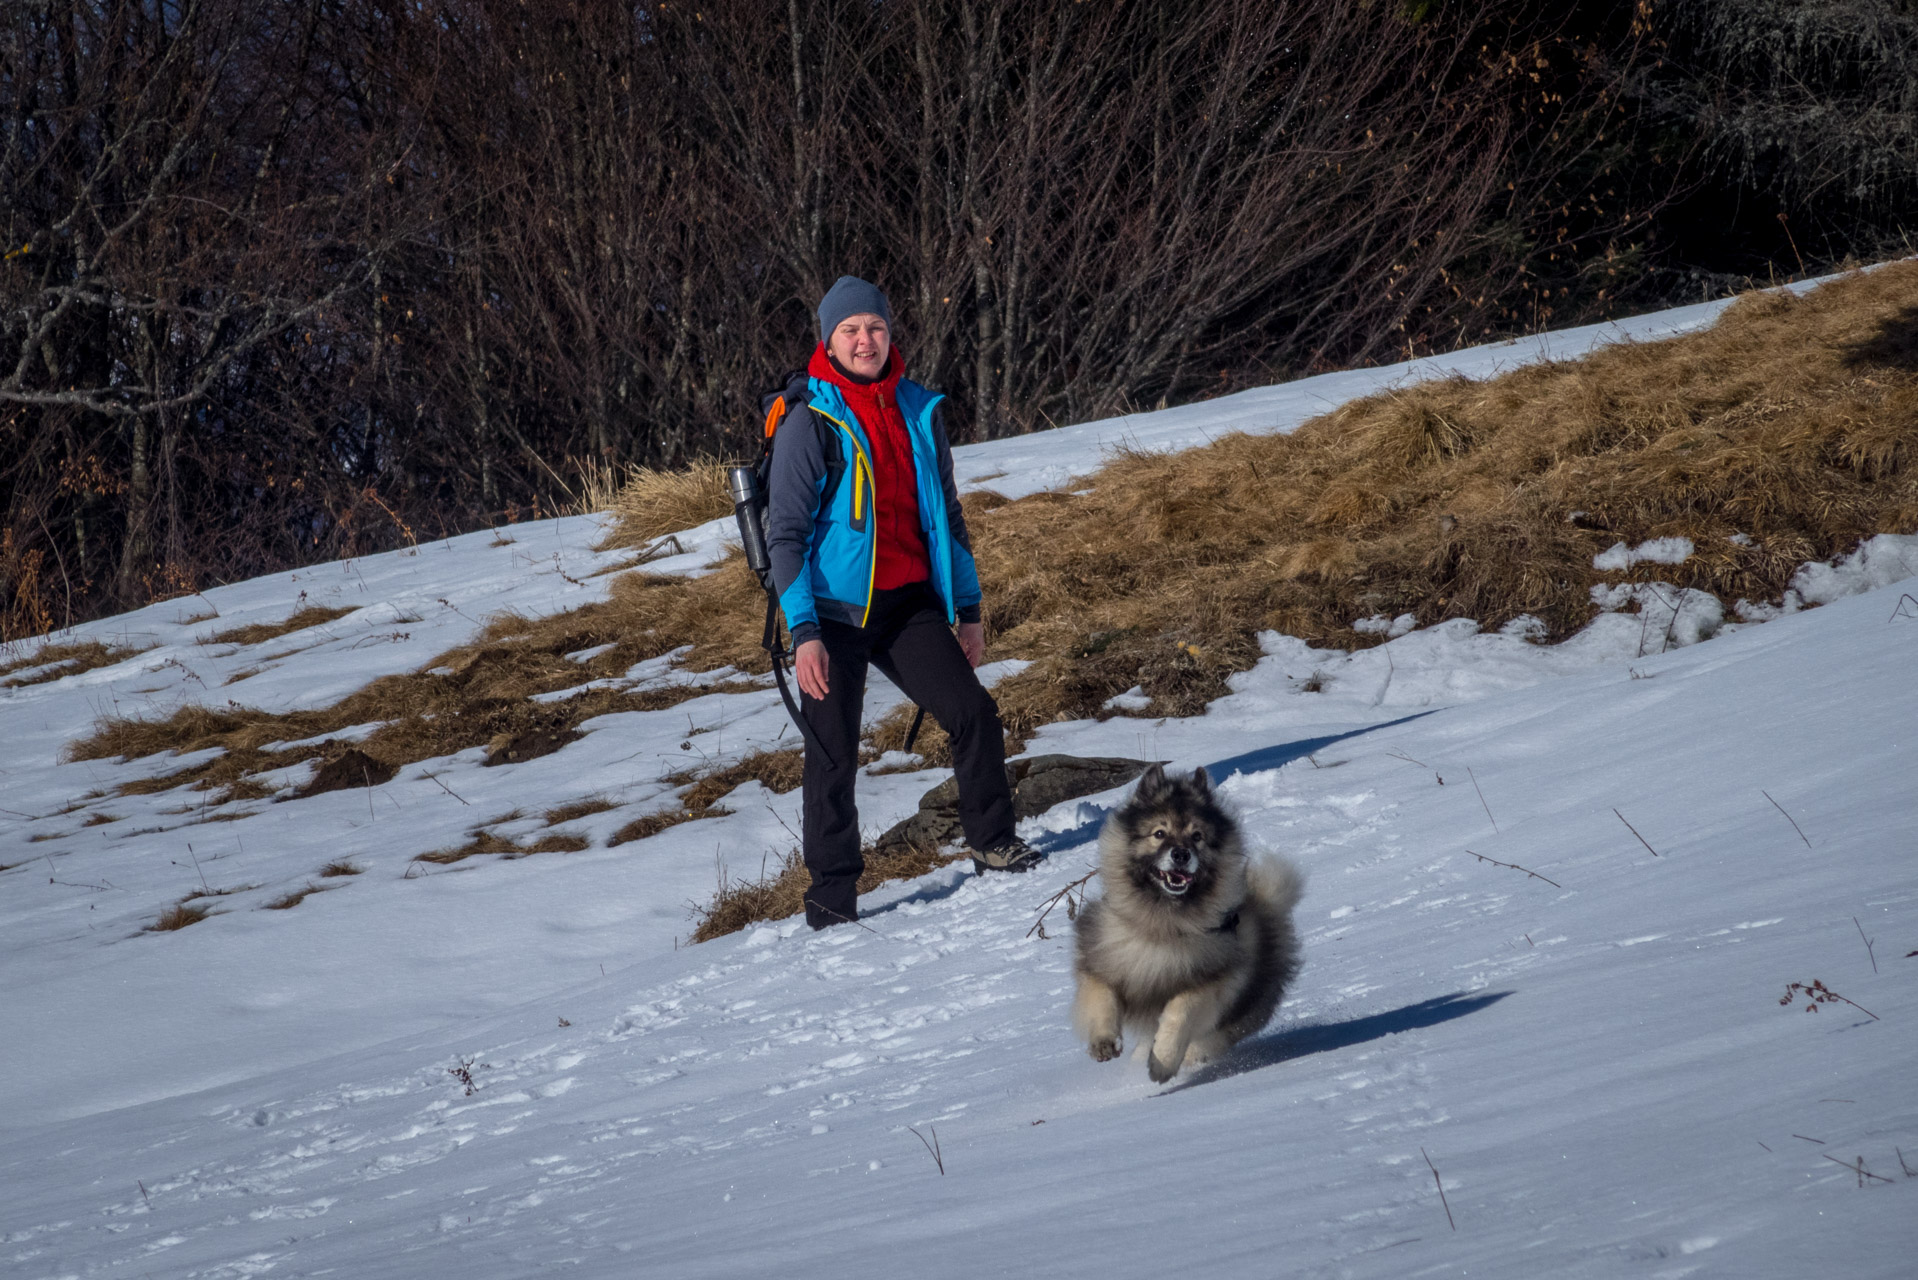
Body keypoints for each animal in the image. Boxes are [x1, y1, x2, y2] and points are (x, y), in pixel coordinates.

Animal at [1081, 771, 1304, 1082]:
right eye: (1159, 833)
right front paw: (1103, 1043)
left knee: (1208, 1040)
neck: (1163, 925)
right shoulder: (1102, 963)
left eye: (1197, 836)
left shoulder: (1209, 982)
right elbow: (1102, 1001)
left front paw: (1162, 1062)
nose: (1181, 854)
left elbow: (1180, 1014)